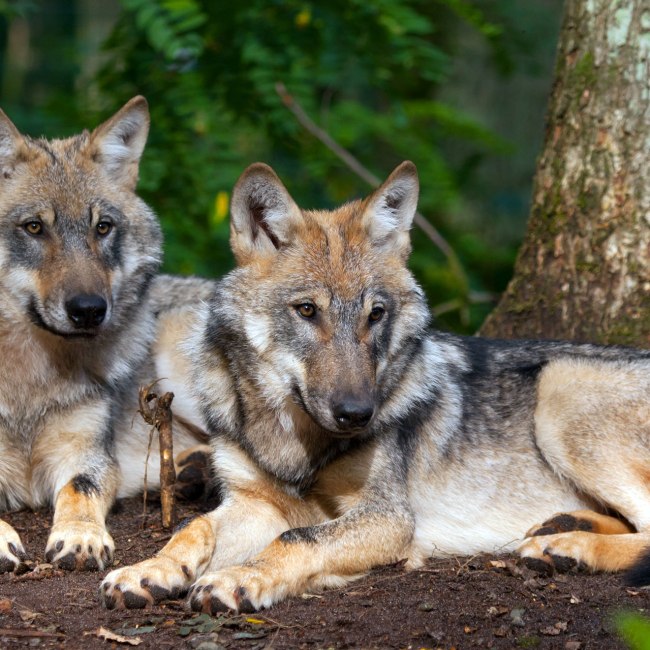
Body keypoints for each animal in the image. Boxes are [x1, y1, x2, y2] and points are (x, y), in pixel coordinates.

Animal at [0, 96, 210, 572]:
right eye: (34, 227)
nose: (89, 310)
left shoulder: (87, 452)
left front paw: (81, 538)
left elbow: (81, 486)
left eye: (102, 227)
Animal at [97, 159, 648, 612]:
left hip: (561, 389)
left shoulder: (388, 517)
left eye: (375, 315)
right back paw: (562, 529)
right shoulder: (255, 502)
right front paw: (148, 570)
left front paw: (237, 579)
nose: (357, 413)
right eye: (307, 310)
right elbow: (194, 526)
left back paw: (568, 546)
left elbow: (296, 539)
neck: (295, 444)